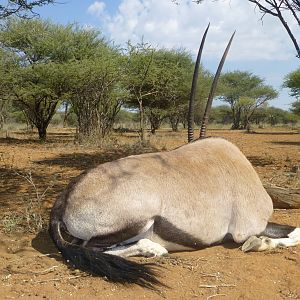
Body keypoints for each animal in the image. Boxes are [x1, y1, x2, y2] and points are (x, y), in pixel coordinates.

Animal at [49, 26, 300, 288]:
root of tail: (66, 198)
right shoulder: (249, 225)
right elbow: (295, 232)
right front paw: (259, 243)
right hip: (135, 220)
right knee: (93, 247)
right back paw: (152, 249)